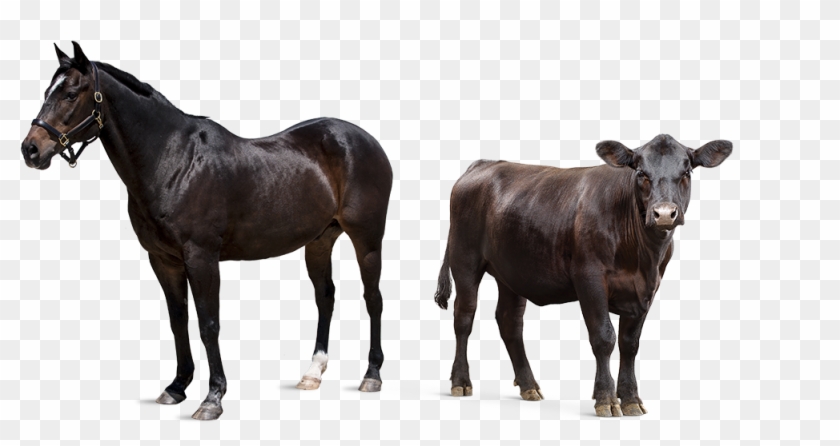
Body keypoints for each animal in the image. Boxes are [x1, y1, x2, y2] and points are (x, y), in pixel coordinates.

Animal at [21, 42, 393, 420]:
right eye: (47, 92)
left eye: (70, 94)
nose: (31, 149)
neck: (173, 161)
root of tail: (367, 140)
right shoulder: (164, 260)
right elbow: (179, 320)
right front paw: (176, 387)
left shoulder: (201, 257)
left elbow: (207, 324)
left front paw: (213, 398)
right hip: (319, 241)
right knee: (325, 297)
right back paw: (312, 373)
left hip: (367, 239)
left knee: (373, 299)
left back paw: (372, 375)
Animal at [433, 135, 732, 416]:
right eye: (641, 172)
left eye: (686, 172)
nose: (665, 214)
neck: (642, 257)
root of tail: (483, 164)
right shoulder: (589, 279)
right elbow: (604, 337)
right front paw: (606, 399)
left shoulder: (647, 289)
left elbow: (630, 344)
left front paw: (631, 399)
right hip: (464, 259)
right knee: (464, 316)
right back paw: (461, 382)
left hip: (512, 272)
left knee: (509, 321)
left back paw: (529, 386)